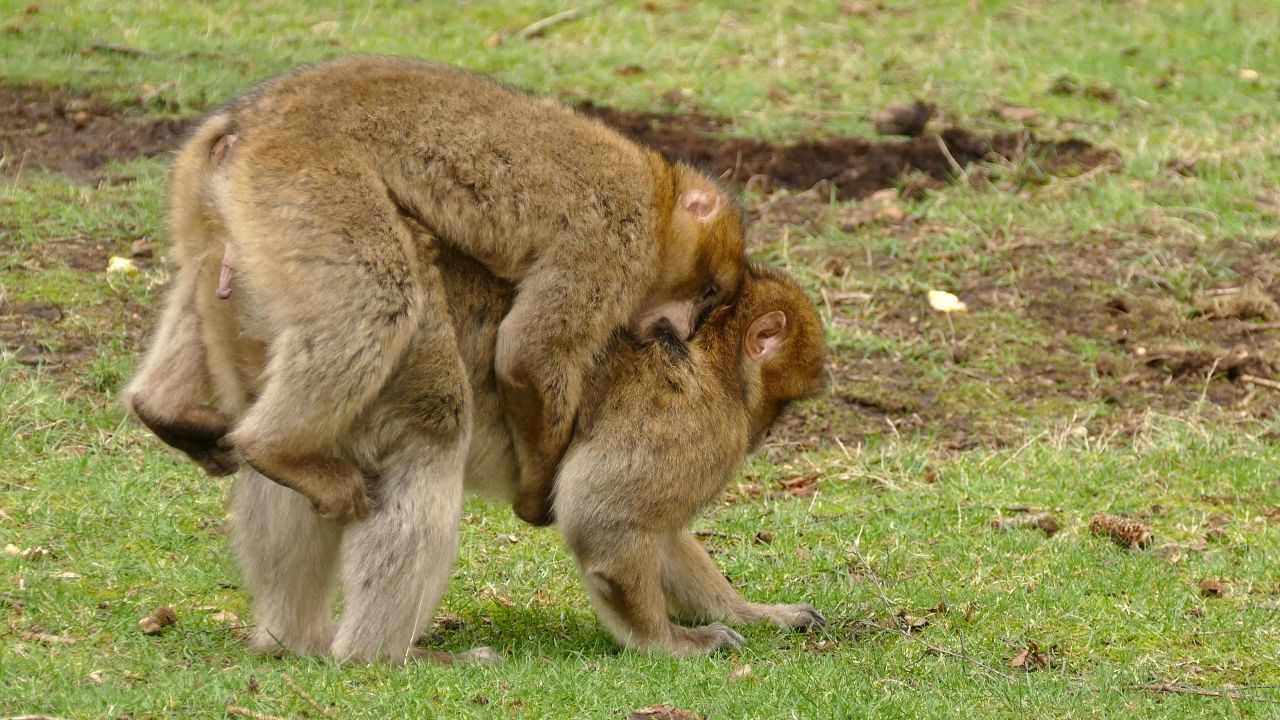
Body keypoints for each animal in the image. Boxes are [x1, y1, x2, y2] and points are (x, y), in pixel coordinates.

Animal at [124, 55, 746, 529]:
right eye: (708, 290)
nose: (679, 328)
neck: (658, 198)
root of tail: (246, 121)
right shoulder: (612, 247)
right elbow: (528, 351)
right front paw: (537, 490)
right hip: (299, 174)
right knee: (377, 297)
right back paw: (271, 450)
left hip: (212, 194)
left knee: (206, 271)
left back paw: (160, 405)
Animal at [552, 262, 828, 654]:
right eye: (783, 403)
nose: (762, 436)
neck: (712, 359)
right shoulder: (699, 422)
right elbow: (597, 518)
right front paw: (666, 641)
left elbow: (663, 533)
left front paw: (749, 613)